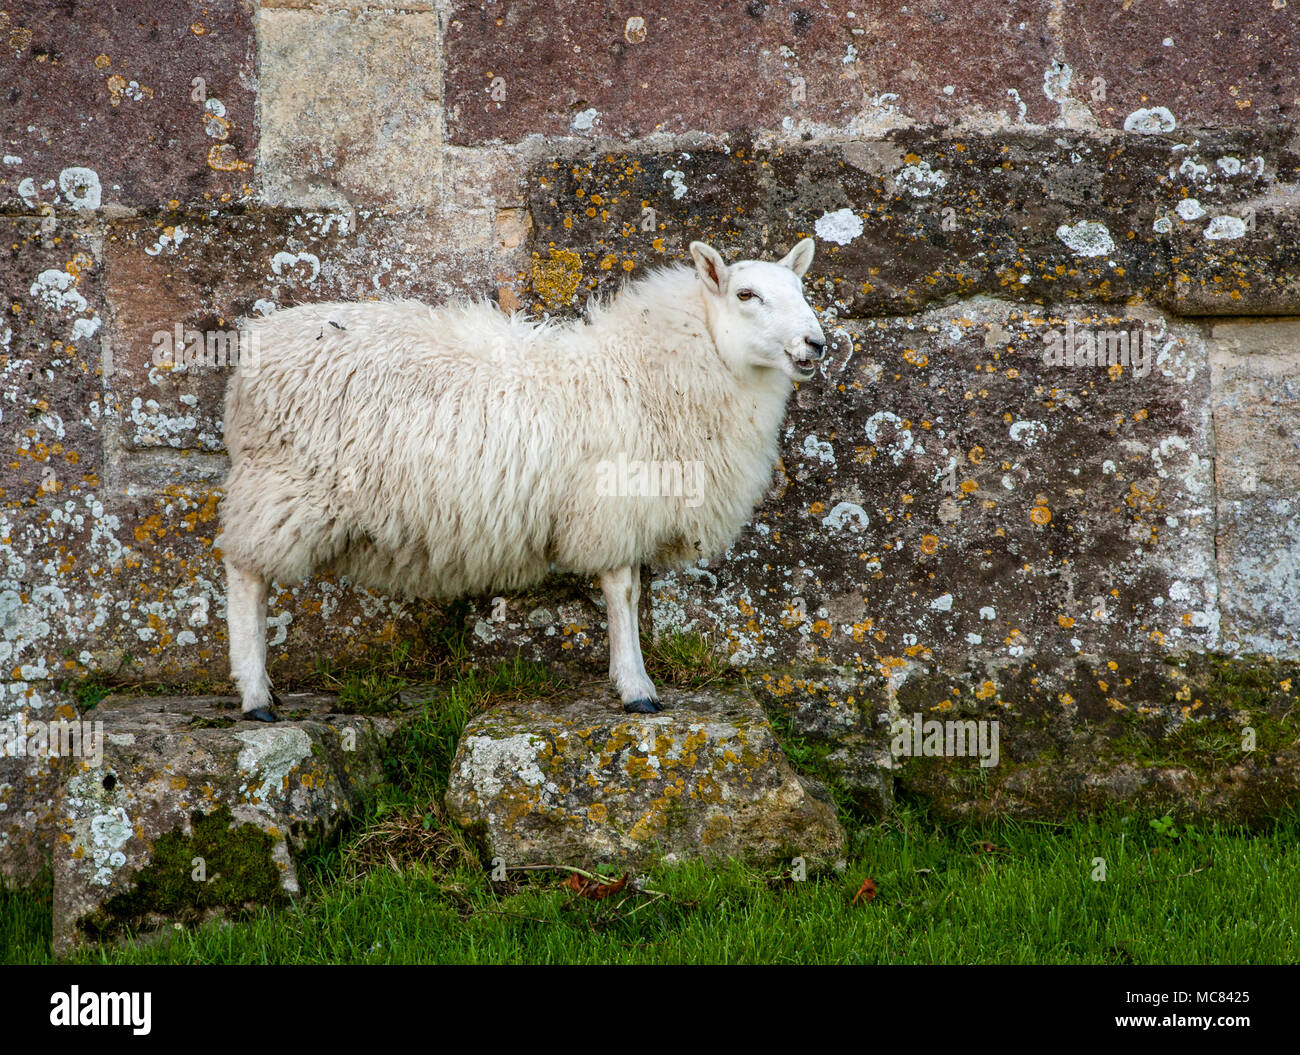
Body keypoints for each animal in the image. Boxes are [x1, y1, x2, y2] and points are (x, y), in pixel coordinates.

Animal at [213, 240, 821, 722]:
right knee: (247, 577)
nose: (817, 344)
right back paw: (256, 695)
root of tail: (252, 351)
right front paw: (637, 688)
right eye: (746, 295)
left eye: (801, 288)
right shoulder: (612, 505)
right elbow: (623, 592)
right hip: (282, 486)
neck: (649, 368)